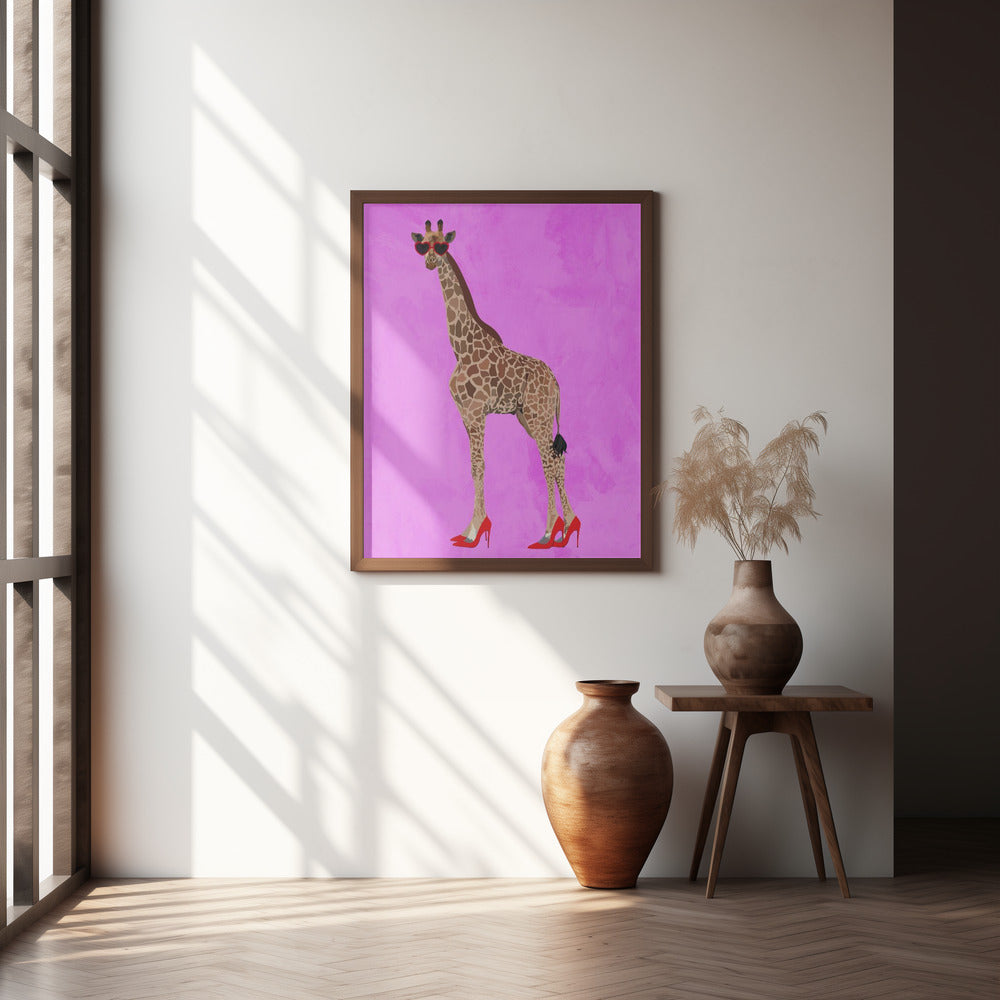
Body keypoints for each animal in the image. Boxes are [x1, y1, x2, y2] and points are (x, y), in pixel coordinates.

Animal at [412, 219, 580, 550]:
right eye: (422, 244)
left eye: (443, 245)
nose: (429, 262)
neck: (461, 348)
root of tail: (556, 382)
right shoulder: (466, 414)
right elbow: (473, 466)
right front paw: (469, 528)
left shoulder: (478, 412)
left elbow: (480, 466)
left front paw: (475, 530)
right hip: (527, 417)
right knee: (557, 459)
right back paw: (567, 528)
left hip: (539, 416)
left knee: (548, 462)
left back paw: (549, 532)